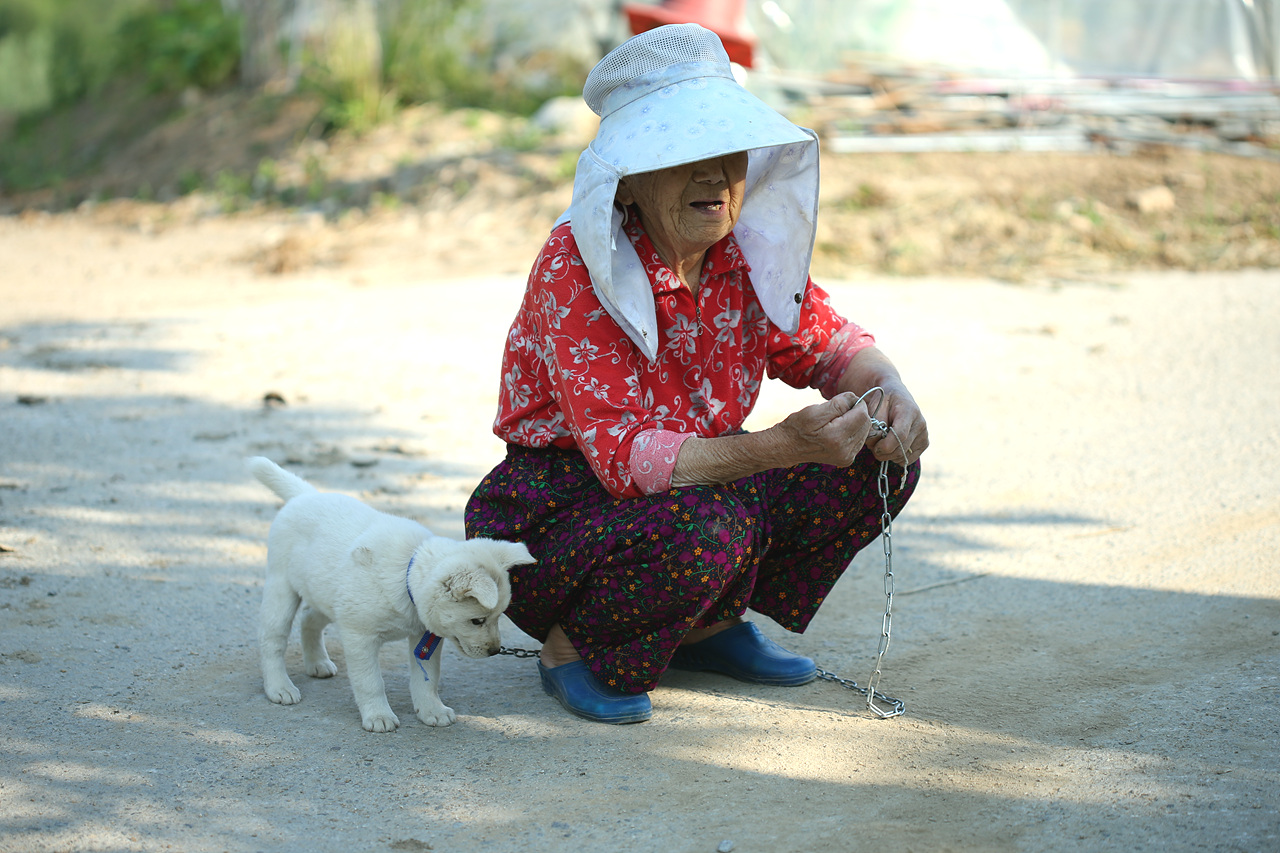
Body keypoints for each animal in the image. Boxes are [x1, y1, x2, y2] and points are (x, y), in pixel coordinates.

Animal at [247, 455, 532, 727]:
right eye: (477, 621)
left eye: (498, 617)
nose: (495, 650)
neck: (406, 578)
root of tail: (305, 495)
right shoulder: (359, 637)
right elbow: (370, 682)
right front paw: (378, 716)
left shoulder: (423, 637)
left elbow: (427, 680)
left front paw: (432, 710)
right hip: (282, 589)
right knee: (272, 640)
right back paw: (279, 687)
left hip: (327, 596)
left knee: (309, 618)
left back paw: (316, 663)